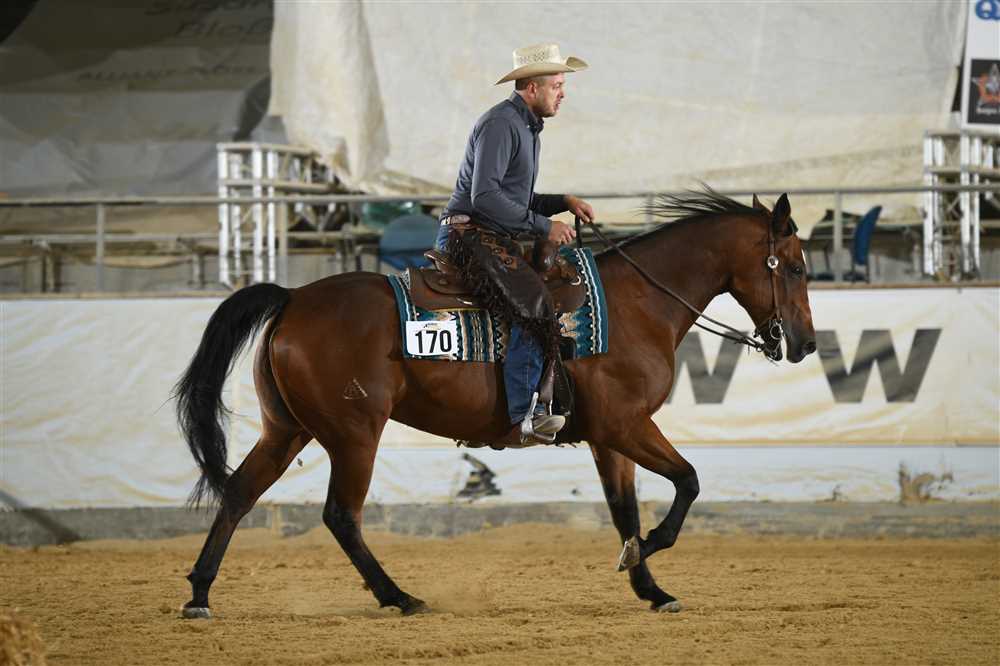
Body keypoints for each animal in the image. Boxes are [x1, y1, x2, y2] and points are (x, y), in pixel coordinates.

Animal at [174, 189, 816, 618]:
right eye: (796, 267)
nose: (807, 343)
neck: (638, 303)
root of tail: (291, 298)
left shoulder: (609, 438)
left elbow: (625, 511)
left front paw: (650, 587)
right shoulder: (628, 425)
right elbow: (688, 481)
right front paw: (644, 554)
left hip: (286, 429)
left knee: (238, 494)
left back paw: (200, 593)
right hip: (355, 434)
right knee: (340, 515)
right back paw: (398, 596)